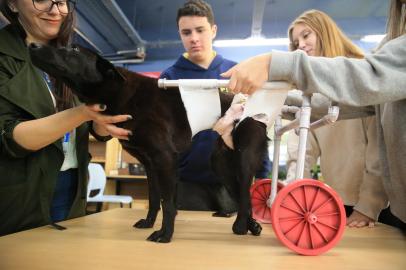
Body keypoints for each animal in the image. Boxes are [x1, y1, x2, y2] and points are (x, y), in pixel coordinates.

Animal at [27, 44, 264, 243]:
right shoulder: (150, 165)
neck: (122, 93)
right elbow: (154, 199)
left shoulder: (165, 158)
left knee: (245, 194)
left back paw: (242, 226)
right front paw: (149, 223)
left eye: (74, 49)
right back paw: (250, 226)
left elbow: (168, 204)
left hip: (243, 161)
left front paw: (165, 234)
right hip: (221, 163)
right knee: (242, 197)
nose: (33, 45)